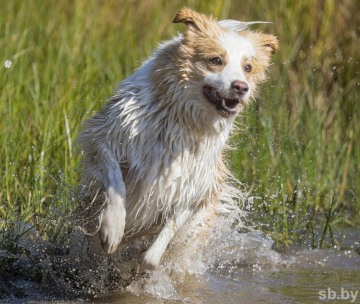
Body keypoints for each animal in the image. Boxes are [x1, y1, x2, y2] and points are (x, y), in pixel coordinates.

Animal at [76, 7, 278, 270]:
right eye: (216, 60)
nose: (241, 87)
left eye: (248, 67)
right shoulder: (105, 139)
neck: (181, 120)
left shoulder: (195, 187)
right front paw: (112, 229)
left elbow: (155, 253)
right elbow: (116, 182)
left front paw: (144, 262)